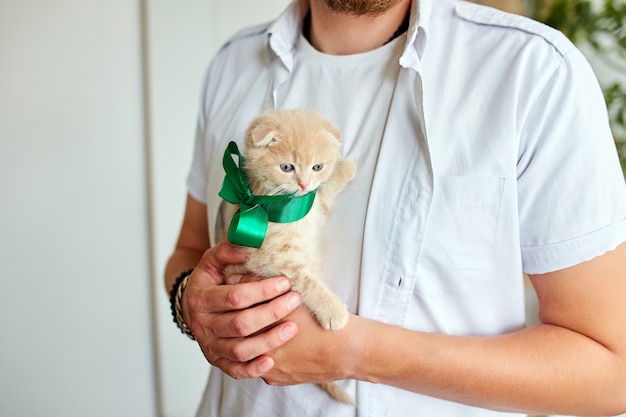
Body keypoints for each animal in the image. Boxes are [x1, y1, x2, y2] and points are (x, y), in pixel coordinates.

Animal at [221, 107, 356, 404]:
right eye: (286, 167)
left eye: (318, 167)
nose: (304, 184)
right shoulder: (270, 258)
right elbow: (307, 280)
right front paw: (332, 309)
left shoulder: (314, 208)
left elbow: (324, 195)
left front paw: (344, 168)